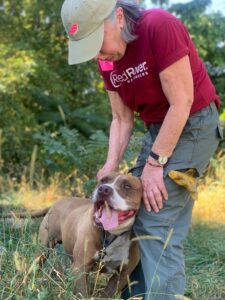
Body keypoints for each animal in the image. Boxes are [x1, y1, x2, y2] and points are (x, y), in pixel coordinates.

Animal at [11, 172, 142, 298]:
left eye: (127, 186)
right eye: (103, 180)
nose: (104, 189)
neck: (110, 235)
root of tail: (57, 202)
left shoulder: (122, 275)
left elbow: (107, 294)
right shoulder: (80, 268)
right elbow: (82, 294)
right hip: (43, 249)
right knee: (34, 266)